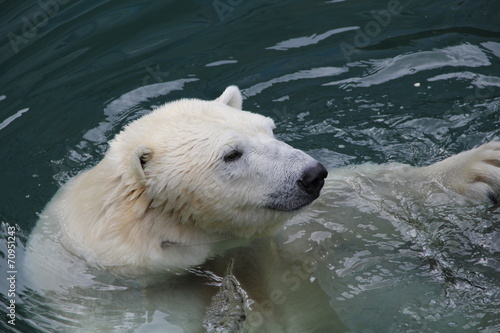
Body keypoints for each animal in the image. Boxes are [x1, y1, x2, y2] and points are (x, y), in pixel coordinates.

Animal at [23, 86, 500, 332]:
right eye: (232, 154)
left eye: (269, 129)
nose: (312, 174)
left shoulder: (289, 234)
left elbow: (360, 198)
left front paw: (480, 166)